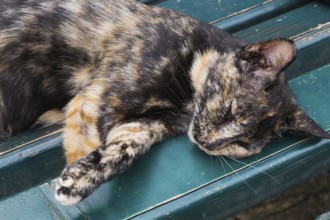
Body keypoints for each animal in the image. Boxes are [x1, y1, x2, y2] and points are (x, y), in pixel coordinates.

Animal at [0, 0, 330, 206]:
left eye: (244, 144)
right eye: (229, 111)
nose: (208, 143)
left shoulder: (145, 125)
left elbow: (122, 151)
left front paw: (78, 181)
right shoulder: (101, 95)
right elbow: (88, 139)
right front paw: (74, 173)